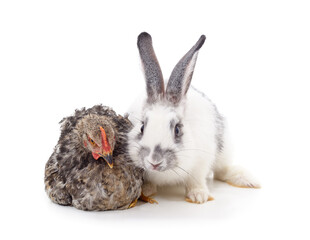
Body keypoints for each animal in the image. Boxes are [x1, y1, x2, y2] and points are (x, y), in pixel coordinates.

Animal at [126, 31, 260, 203]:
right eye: (142, 127)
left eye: (177, 129)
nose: (154, 161)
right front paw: (147, 190)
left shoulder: (200, 164)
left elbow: (195, 180)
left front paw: (199, 196)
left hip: (224, 151)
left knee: (222, 171)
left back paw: (247, 180)